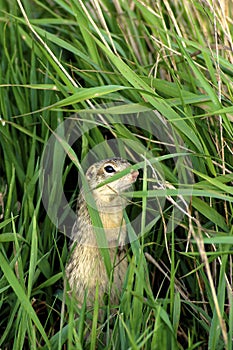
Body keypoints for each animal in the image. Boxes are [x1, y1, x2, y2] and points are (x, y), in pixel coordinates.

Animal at [65, 159, 138, 308]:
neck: (112, 200)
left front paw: (122, 244)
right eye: (109, 169)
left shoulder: (121, 218)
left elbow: (123, 229)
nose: (136, 173)